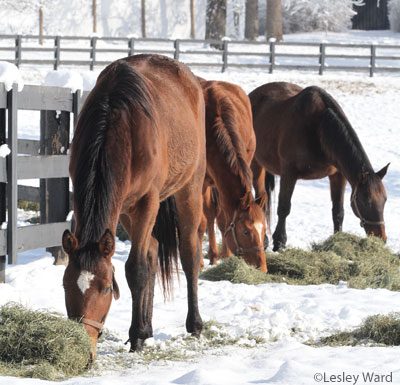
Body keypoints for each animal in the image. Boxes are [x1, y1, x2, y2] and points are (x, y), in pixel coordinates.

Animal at [62, 54, 208, 356]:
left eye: (106, 288)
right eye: (66, 285)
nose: (85, 343)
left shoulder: (147, 201)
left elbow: (136, 268)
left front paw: (137, 335)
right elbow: (144, 262)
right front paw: (140, 331)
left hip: (189, 188)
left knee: (189, 254)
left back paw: (194, 324)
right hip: (126, 210)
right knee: (152, 250)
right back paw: (148, 325)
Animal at [198, 77, 268, 270]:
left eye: (264, 229)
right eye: (245, 231)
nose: (262, 267)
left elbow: (222, 219)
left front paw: (226, 255)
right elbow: (202, 221)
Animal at [250, 81, 388, 250]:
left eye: (385, 199)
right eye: (365, 200)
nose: (381, 238)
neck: (318, 128)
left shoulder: (337, 175)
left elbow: (338, 211)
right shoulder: (289, 174)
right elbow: (284, 208)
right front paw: (279, 242)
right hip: (256, 164)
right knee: (260, 200)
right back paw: (263, 241)